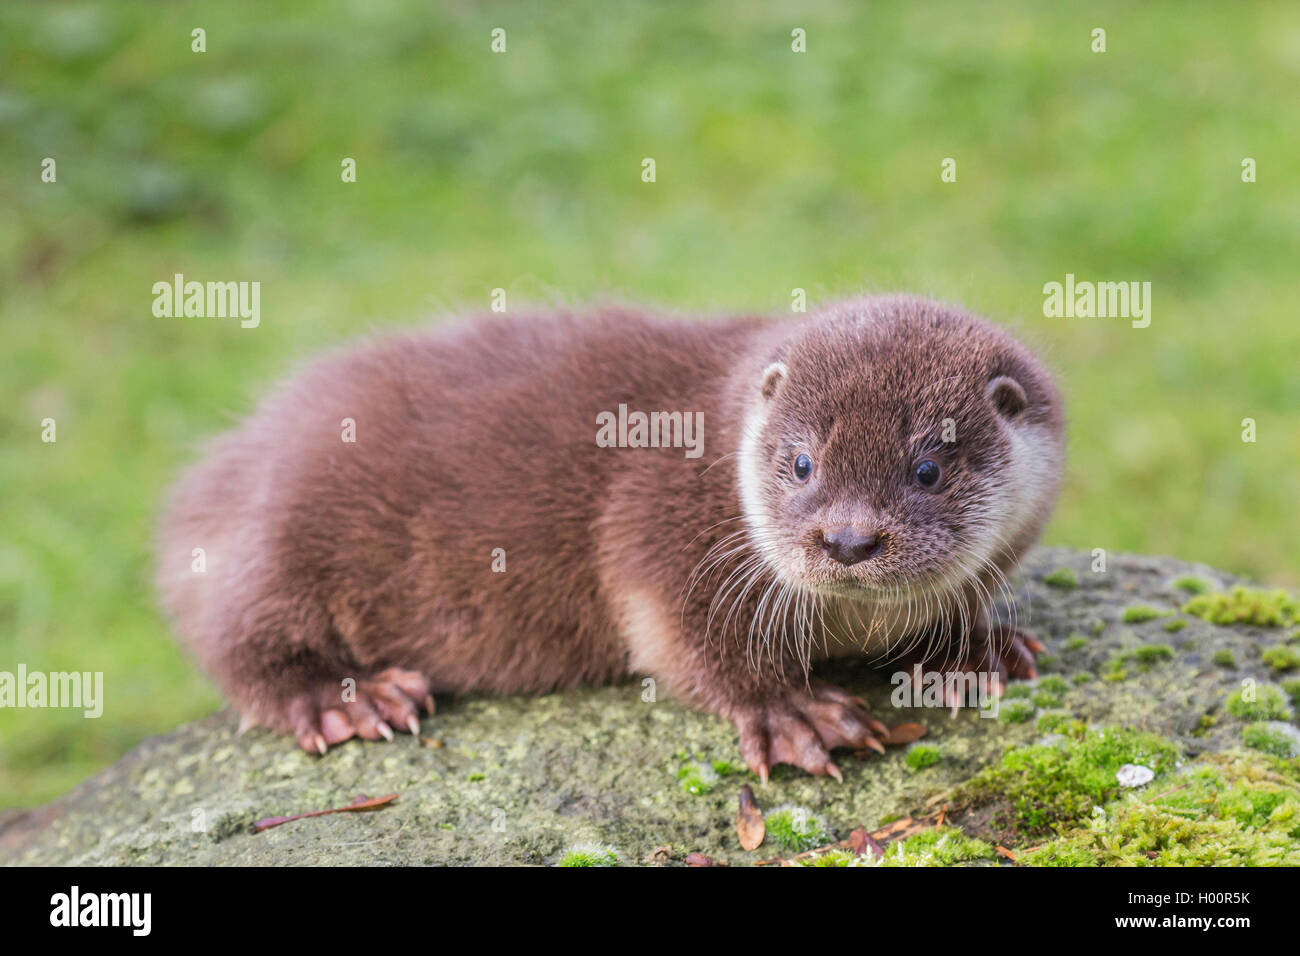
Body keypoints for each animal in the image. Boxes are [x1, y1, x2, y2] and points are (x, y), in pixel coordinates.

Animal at [157, 295, 1060, 780]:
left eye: (927, 471)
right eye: (802, 463)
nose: (847, 540)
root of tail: (214, 476)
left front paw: (971, 648)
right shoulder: (660, 524)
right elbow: (683, 641)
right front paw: (791, 711)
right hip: (278, 543)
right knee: (242, 643)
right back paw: (347, 698)